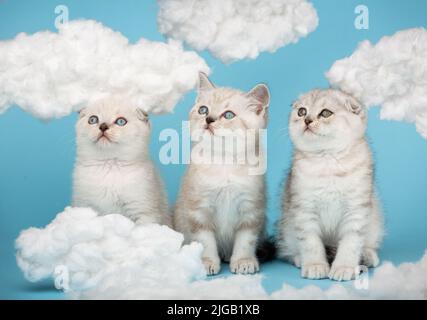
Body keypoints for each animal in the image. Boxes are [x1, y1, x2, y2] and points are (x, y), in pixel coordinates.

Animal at [72, 97, 170, 225]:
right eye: (93, 120)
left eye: (121, 122)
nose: (103, 126)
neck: (109, 166)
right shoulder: (83, 204)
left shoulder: (143, 211)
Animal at [172, 72, 272, 276]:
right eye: (203, 110)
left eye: (228, 115)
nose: (208, 119)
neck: (224, 162)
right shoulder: (199, 210)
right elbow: (204, 241)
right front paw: (206, 262)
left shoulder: (251, 209)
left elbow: (245, 241)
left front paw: (243, 261)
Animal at [276, 89, 386, 282]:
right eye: (302, 112)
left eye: (325, 113)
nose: (307, 120)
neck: (327, 159)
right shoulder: (304, 209)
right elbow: (310, 243)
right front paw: (315, 265)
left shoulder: (356, 210)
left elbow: (351, 243)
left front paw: (344, 268)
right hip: (286, 227)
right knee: (289, 249)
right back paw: (300, 259)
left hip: (375, 220)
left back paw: (367, 256)